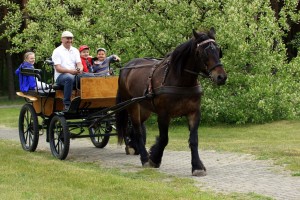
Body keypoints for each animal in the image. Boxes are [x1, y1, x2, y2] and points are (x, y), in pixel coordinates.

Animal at [115, 27, 227, 175]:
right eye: (203, 52)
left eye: (218, 51)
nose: (221, 77)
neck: (181, 81)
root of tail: (126, 67)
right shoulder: (163, 114)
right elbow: (164, 139)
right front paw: (154, 158)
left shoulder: (194, 112)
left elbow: (194, 140)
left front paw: (197, 166)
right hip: (132, 105)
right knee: (137, 130)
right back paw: (144, 158)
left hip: (144, 109)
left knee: (135, 129)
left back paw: (134, 147)